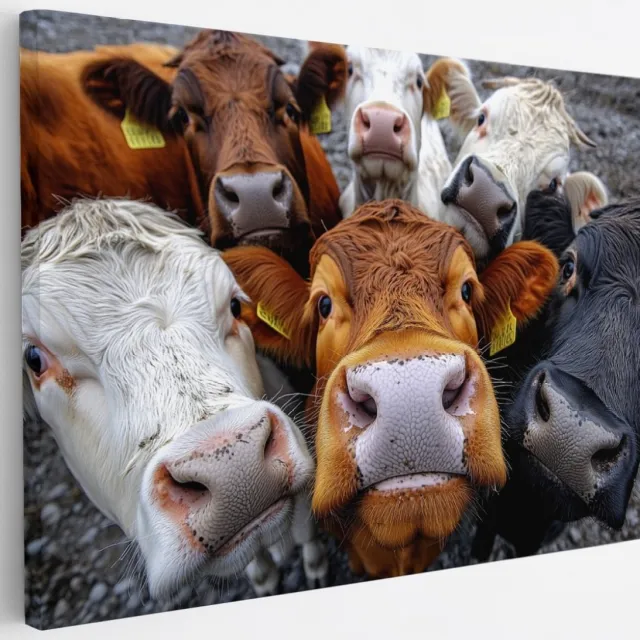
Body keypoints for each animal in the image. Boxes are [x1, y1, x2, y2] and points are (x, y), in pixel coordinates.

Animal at [21, 198, 328, 598]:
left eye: (234, 306)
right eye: (33, 359)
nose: (234, 468)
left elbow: (306, 531)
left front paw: (315, 568)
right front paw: (264, 579)